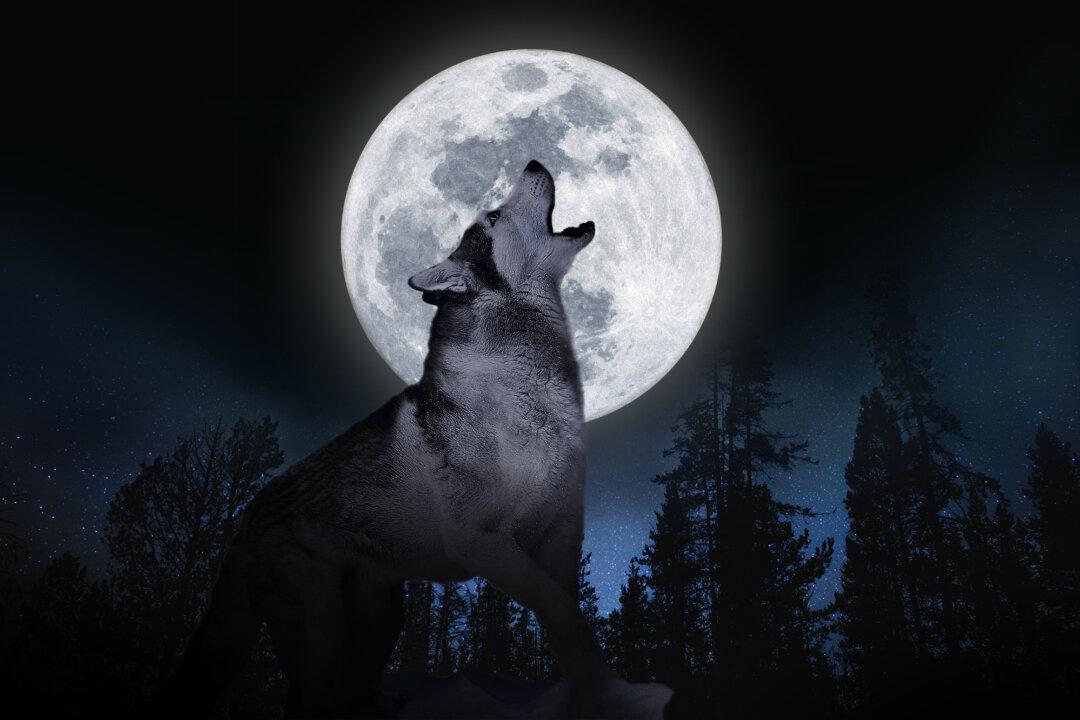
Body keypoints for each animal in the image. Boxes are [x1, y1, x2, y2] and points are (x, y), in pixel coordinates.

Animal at [165, 161, 611, 717]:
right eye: (492, 217)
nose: (533, 163)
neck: (528, 390)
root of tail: (247, 516)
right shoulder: (484, 543)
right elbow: (563, 616)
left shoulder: (560, 542)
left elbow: (569, 622)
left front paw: (590, 695)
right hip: (321, 639)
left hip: (381, 622)